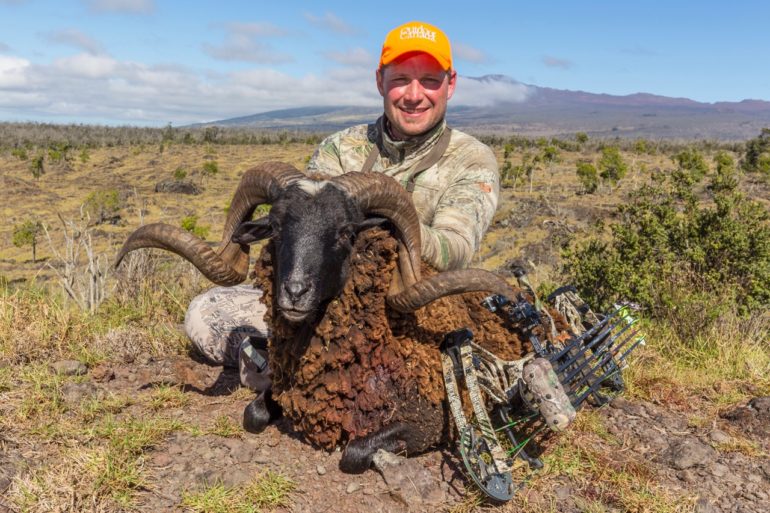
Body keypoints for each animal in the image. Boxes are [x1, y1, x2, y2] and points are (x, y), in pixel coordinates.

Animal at [117, 162, 566, 473]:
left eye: (347, 232)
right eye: (275, 227)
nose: (294, 292)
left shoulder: (428, 422)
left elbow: (353, 453)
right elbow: (254, 414)